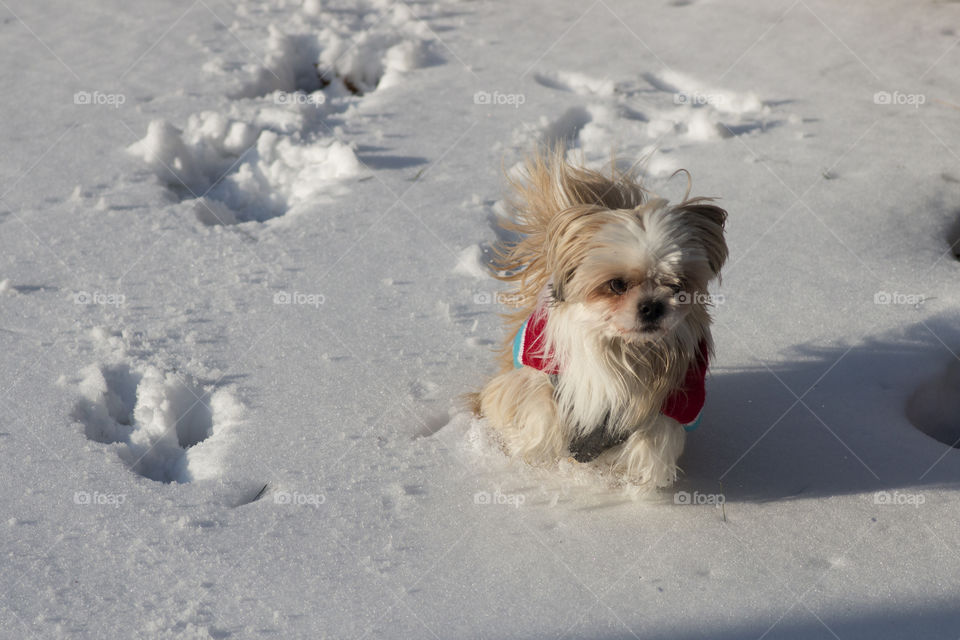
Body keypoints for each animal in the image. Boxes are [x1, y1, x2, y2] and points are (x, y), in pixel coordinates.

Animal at [472, 149, 728, 490]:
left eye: (677, 285)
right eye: (617, 285)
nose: (652, 306)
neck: (622, 347)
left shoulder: (669, 408)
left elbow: (648, 445)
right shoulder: (543, 378)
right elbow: (540, 414)